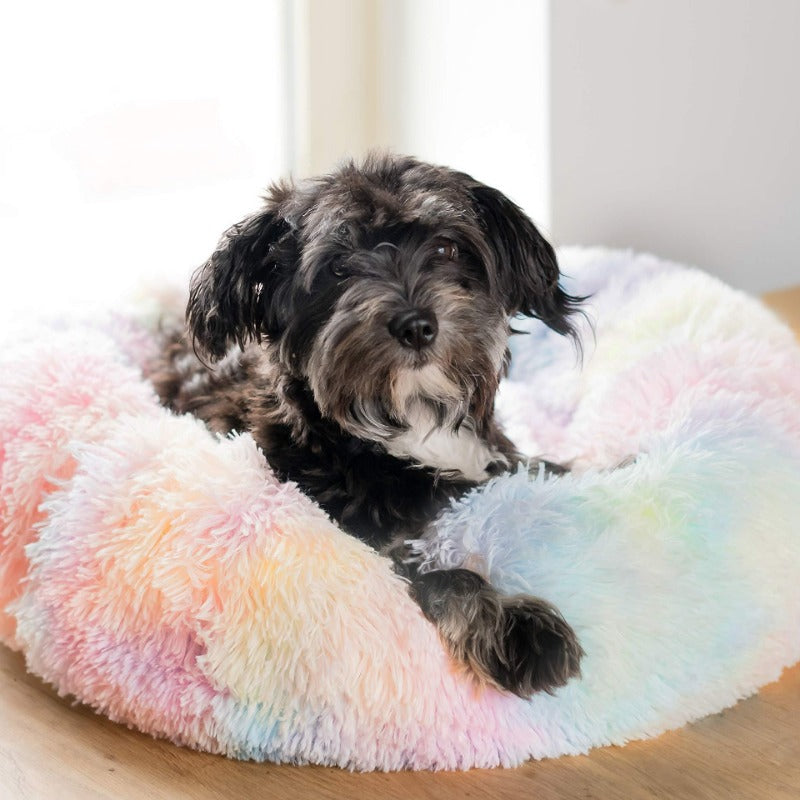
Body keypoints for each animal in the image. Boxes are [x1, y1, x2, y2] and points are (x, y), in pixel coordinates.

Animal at [150, 153, 584, 696]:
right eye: (338, 268)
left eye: (447, 247)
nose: (417, 326)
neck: (409, 417)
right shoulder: (360, 541)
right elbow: (444, 576)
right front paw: (517, 629)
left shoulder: (494, 459)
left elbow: (543, 467)